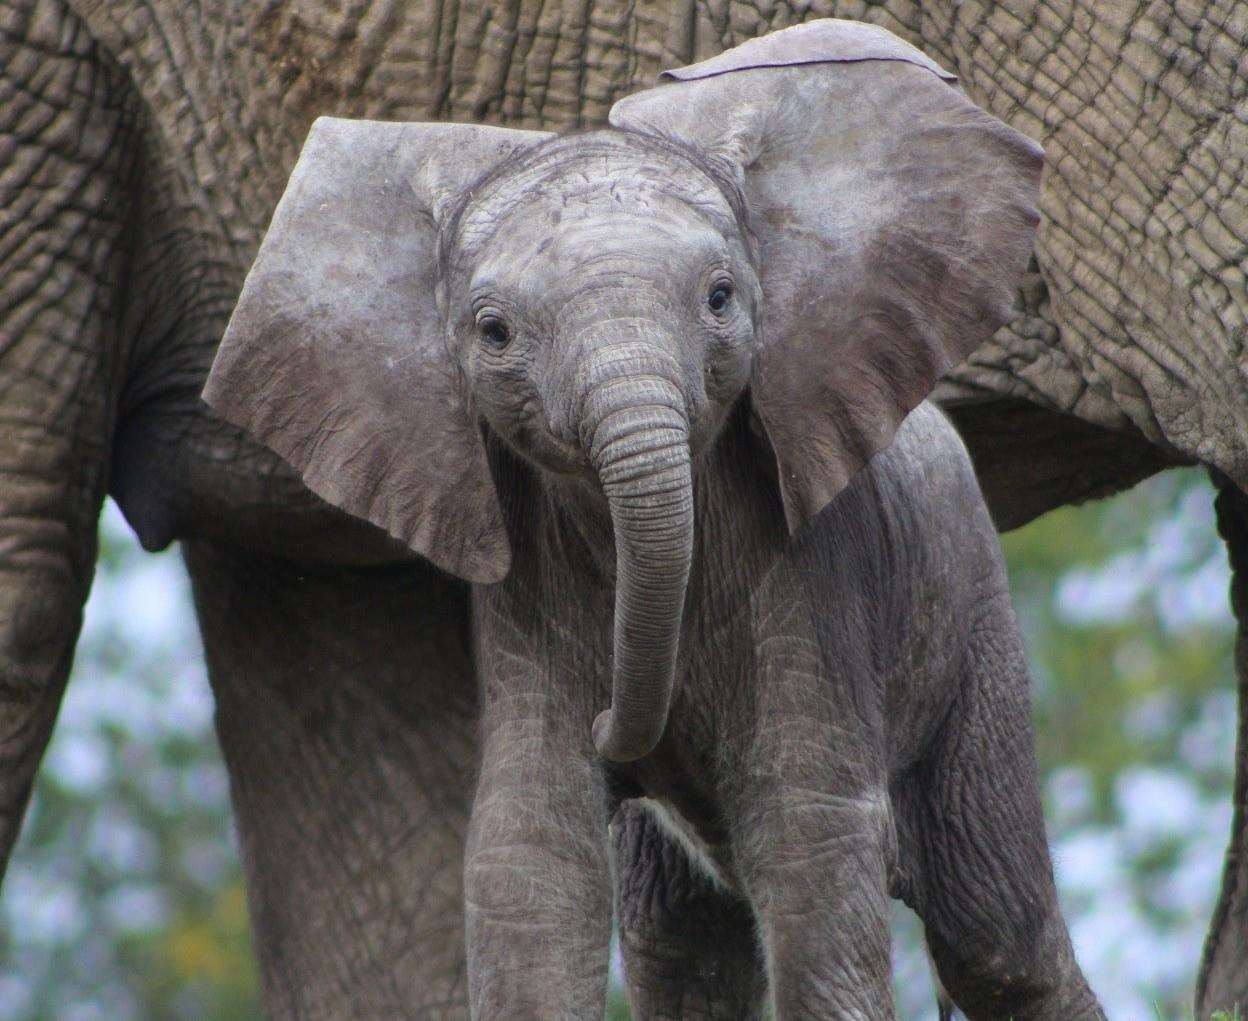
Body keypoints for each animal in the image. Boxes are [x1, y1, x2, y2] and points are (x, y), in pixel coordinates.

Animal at [0, 0, 1243, 1013]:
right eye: (494, 332)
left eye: (722, 298)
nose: (623, 733)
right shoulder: (525, 574)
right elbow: (530, 851)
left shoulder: (815, 570)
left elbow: (807, 829)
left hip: (974, 619)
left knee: (994, 929)